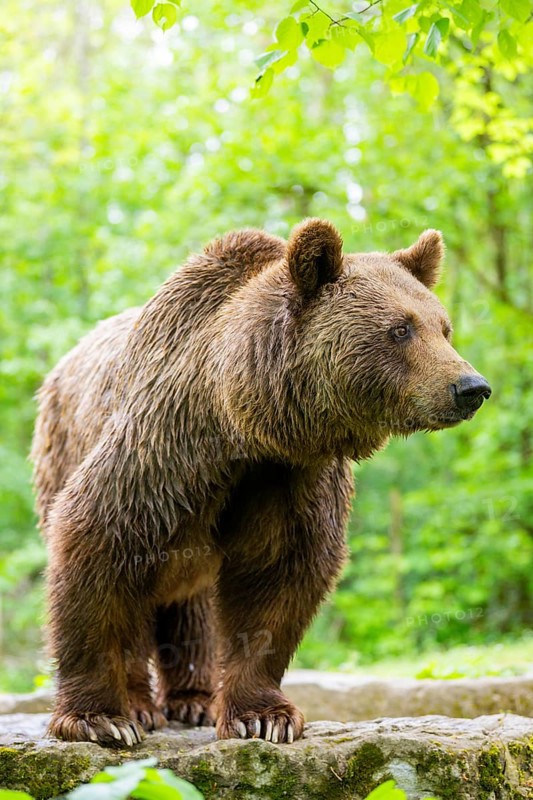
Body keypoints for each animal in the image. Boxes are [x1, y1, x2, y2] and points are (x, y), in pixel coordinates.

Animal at [32, 218, 491, 747]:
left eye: (444, 327)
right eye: (400, 329)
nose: (471, 387)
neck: (239, 421)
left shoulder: (288, 474)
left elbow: (278, 574)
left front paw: (262, 716)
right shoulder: (164, 451)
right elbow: (97, 542)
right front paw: (99, 718)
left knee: (191, 604)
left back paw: (195, 701)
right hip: (62, 444)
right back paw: (142, 705)